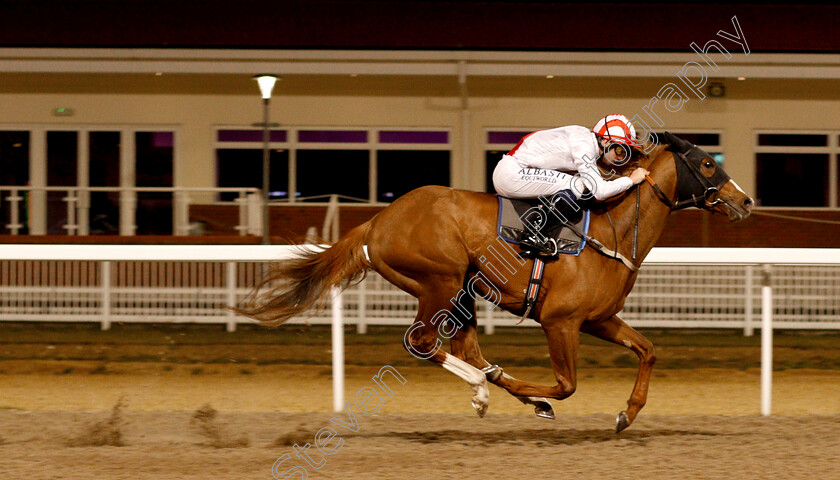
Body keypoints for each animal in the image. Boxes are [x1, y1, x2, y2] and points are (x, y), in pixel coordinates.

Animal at [236, 133, 756, 434]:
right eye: (708, 164)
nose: (746, 201)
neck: (611, 230)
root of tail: (378, 221)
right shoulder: (560, 321)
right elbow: (566, 384)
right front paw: (527, 393)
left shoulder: (599, 319)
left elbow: (648, 351)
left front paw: (626, 413)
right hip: (439, 279)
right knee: (423, 342)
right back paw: (485, 387)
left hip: (461, 289)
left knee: (461, 345)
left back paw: (494, 387)